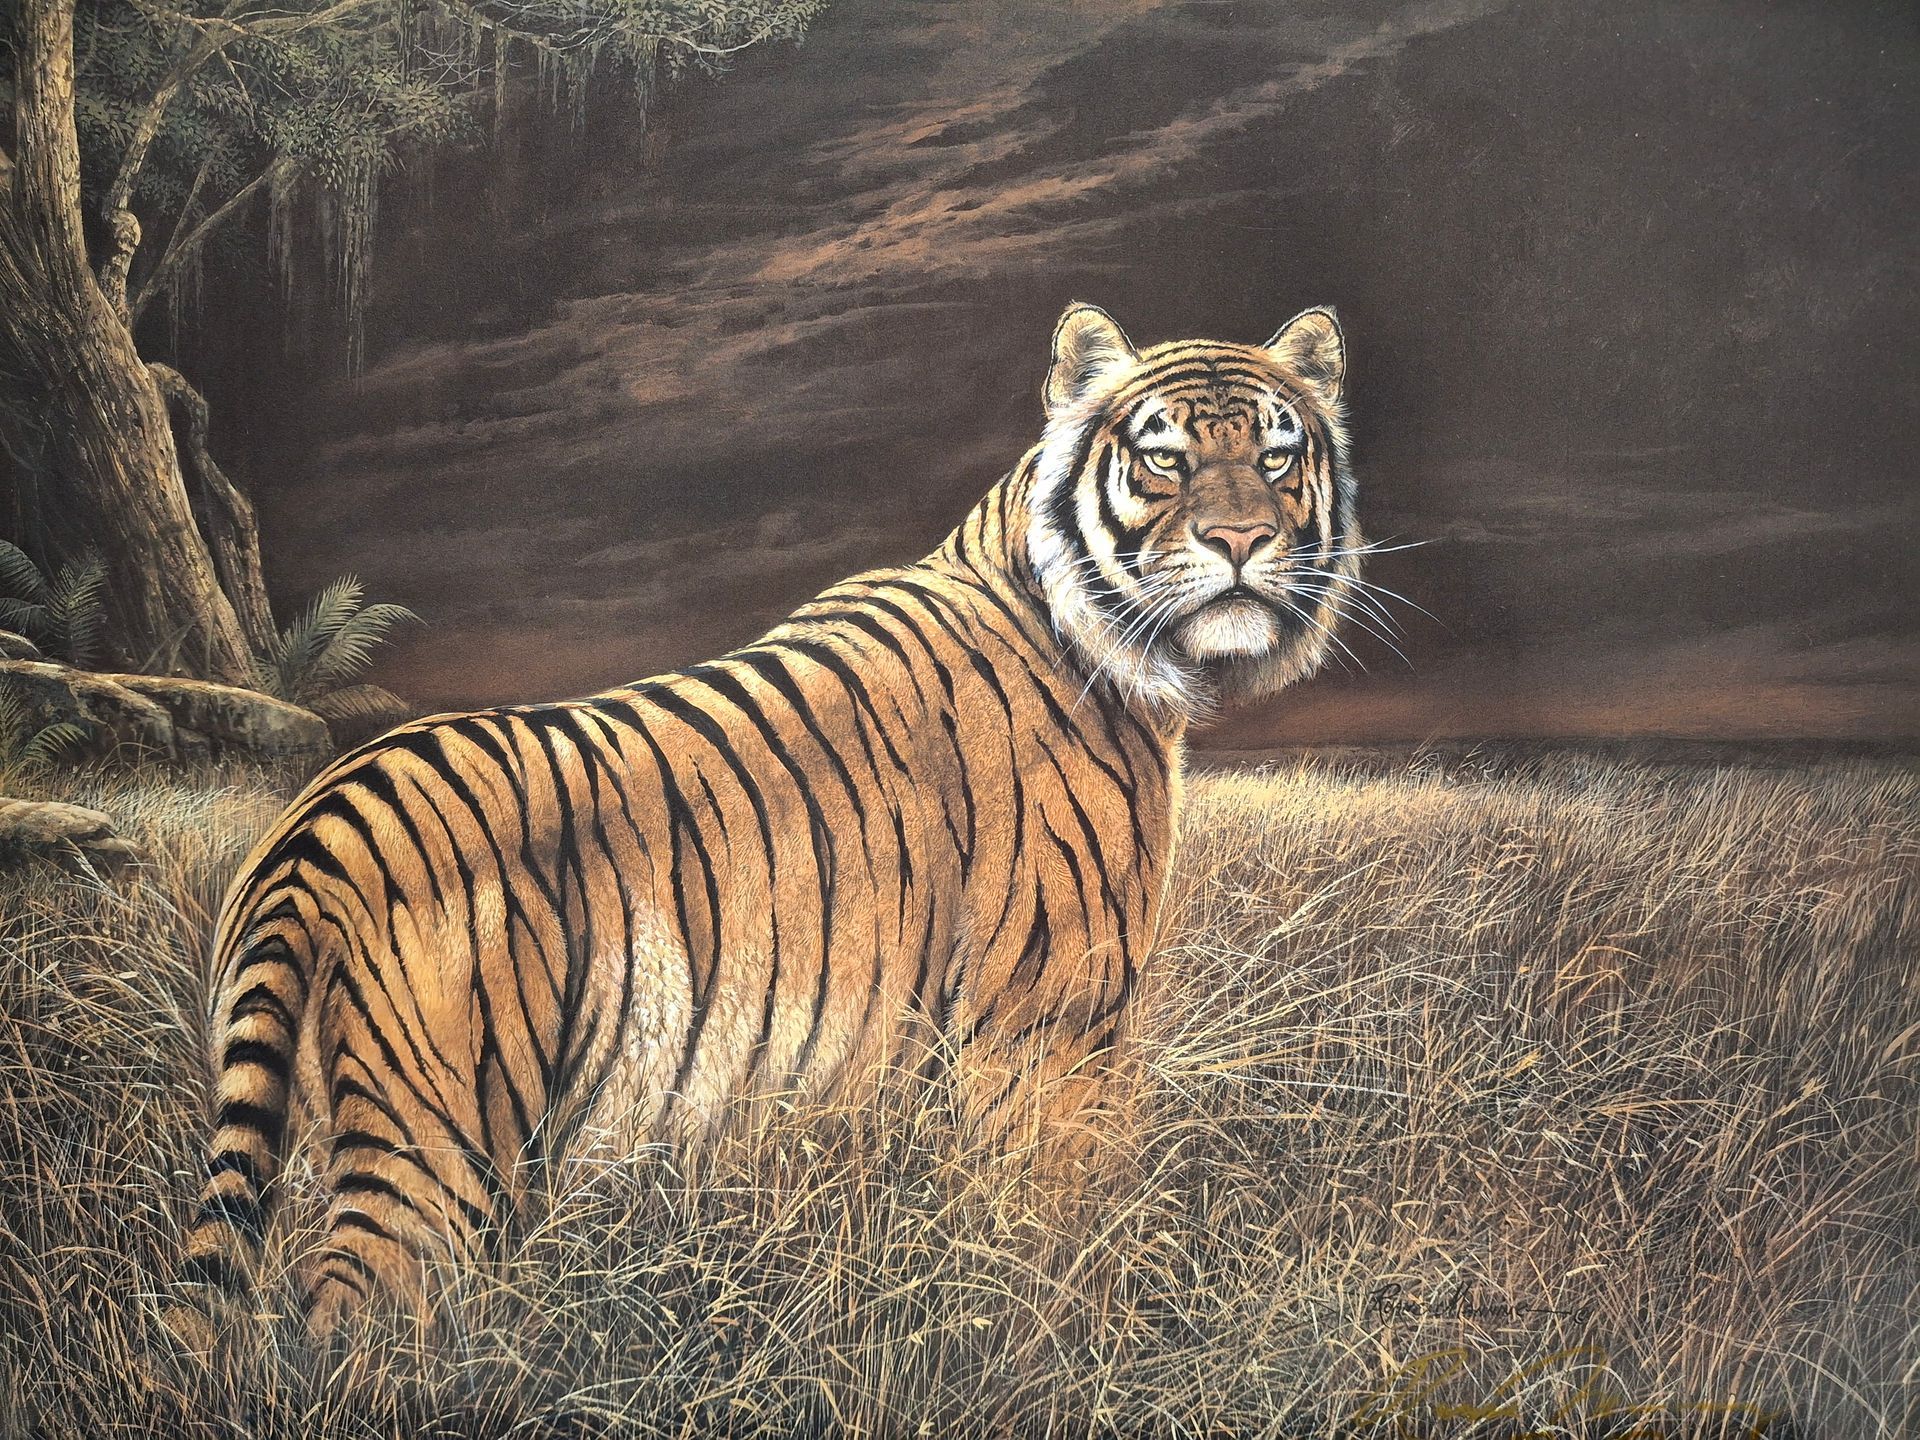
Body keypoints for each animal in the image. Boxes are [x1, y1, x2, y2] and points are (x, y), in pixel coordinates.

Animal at [176, 301, 1362, 1340]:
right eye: (1164, 459)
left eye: (1275, 456)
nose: (1245, 540)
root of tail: (313, 829)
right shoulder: (1050, 1019)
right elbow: (1051, 1213)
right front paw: (1060, 1327)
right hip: (433, 1155)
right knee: (353, 1325)